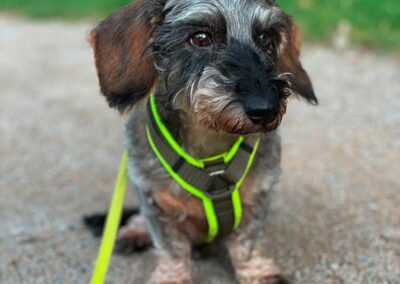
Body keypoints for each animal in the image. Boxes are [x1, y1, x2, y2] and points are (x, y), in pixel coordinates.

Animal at [87, 0, 316, 284]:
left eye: (264, 38)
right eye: (201, 38)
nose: (266, 109)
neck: (211, 149)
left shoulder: (257, 199)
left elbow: (248, 244)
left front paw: (259, 273)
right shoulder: (156, 204)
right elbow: (171, 249)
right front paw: (171, 276)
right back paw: (134, 233)